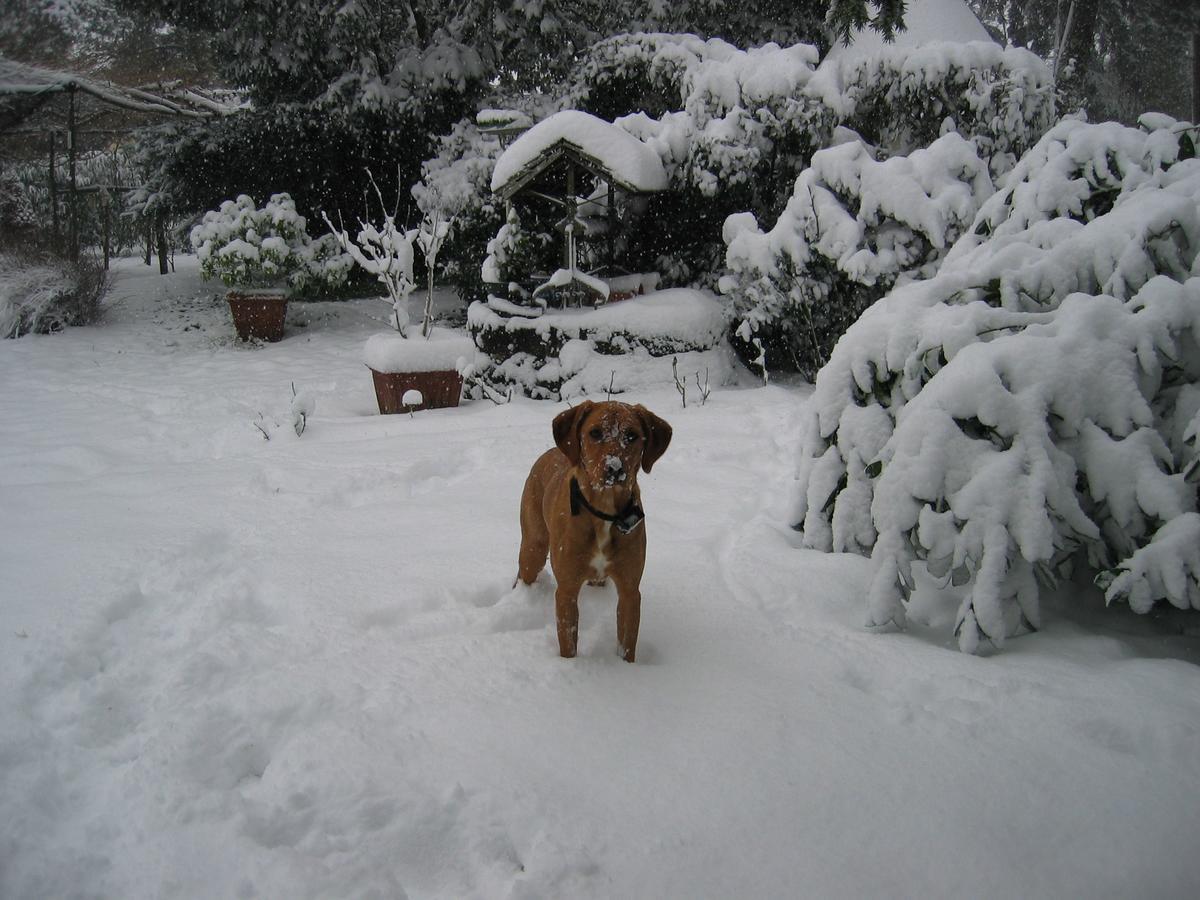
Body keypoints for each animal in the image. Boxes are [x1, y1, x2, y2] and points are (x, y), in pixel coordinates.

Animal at [516, 400, 672, 662]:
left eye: (632, 435)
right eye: (595, 433)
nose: (614, 468)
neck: (604, 513)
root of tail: (552, 451)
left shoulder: (630, 591)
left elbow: (627, 645)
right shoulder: (567, 590)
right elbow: (568, 645)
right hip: (533, 547)